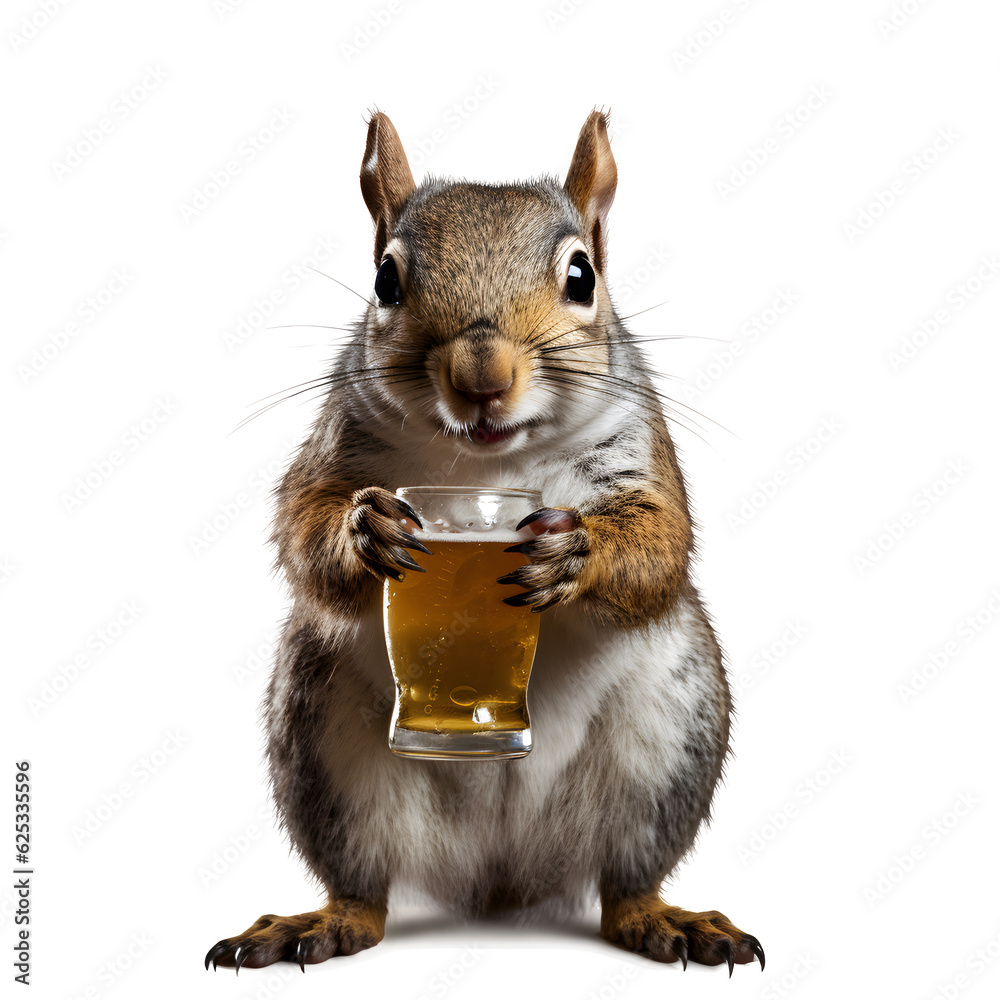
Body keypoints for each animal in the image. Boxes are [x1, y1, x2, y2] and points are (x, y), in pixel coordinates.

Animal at [205, 109, 763, 974]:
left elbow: (661, 545)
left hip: (668, 750)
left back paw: (663, 919)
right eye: (385, 281)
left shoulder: (641, 452)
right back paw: (323, 922)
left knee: (625, 882)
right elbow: (303, 526)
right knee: (364, 888)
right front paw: (366, 530)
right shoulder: (337, 444)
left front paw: (577, 553)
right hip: (323, 755)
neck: (486, 466)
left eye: (581, 277)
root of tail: (499, 878)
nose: (481, 376)